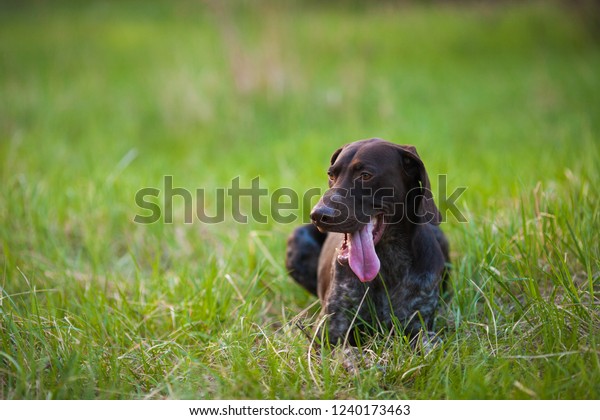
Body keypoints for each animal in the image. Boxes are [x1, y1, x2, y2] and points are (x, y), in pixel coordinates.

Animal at [288, 139, 450, 346]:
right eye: (331, 175)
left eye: (365, 175)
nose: (318, 214)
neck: (388, 262)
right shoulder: (330, 333)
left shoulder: (419, 328)